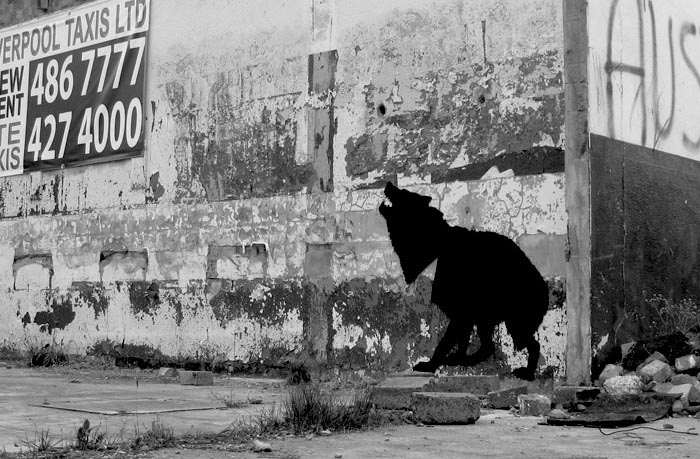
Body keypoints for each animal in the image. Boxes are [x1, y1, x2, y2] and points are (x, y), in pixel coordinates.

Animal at [378, 182, 548, 380]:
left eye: (403, 192)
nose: (388, 183)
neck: (437, 243)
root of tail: (545, 288)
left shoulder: (460, 303)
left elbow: (446, 341)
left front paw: (430, 364)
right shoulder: (465, 309)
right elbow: (462, 339)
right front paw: (456, 358)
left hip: (515, 314)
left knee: (527, 342)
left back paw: (527, 372)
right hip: (488, 313)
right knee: (488, 345)